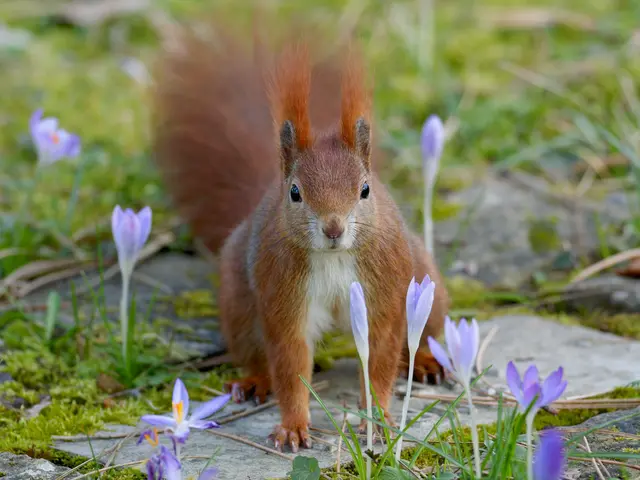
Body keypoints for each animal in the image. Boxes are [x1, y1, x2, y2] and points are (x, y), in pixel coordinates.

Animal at [152, 23, 450, 453]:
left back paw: (426, 360)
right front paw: (293, 426)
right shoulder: (283, 293)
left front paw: (377, 416)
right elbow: (290, 362)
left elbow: (379, 357)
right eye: (295, 192)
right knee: (255, 352)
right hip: (239, 303)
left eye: (365, 190)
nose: (333, 228)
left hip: (425, 281)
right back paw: (253, 381)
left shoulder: (382, 290)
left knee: (423, 330)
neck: (333, 257)